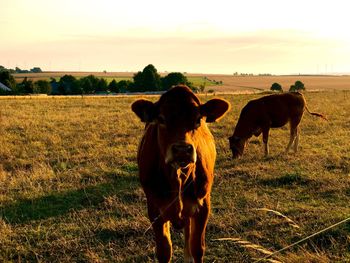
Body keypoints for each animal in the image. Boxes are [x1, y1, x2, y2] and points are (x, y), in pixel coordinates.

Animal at [131, 85, 230, 262]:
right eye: (161, 119)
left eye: (198, 119)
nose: (182, 150)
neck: (177, 177)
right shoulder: (155, 210)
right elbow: (164, 251)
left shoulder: (203, 206)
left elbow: (197, 247)